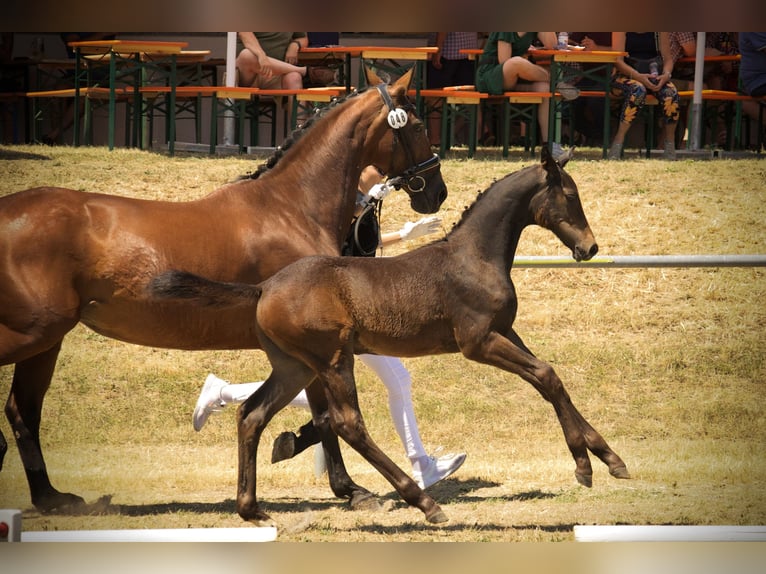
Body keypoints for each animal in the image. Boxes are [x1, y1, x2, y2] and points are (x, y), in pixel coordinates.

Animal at [0, 67, 448, 515]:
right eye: (419, 126)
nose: (437, 192)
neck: (290, 207)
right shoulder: (318, 348)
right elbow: (326, 417)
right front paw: (351, 488)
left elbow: (313, 416)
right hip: (35, 333)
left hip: (48, 342)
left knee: (23, 410)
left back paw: (51, 497)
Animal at [149, 146, 630, 526]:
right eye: (570, 195)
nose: (589, 247)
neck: (473, 256)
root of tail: (264, 287)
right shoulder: (478, 342)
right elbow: (546, 375)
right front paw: (585, 466)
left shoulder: (504, 331)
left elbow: (553, 380)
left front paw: (610, 459)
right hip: (332, 359)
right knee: (346, 422)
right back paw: (423, 503)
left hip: (294, 366)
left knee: (252, 414)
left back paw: (251, 508)